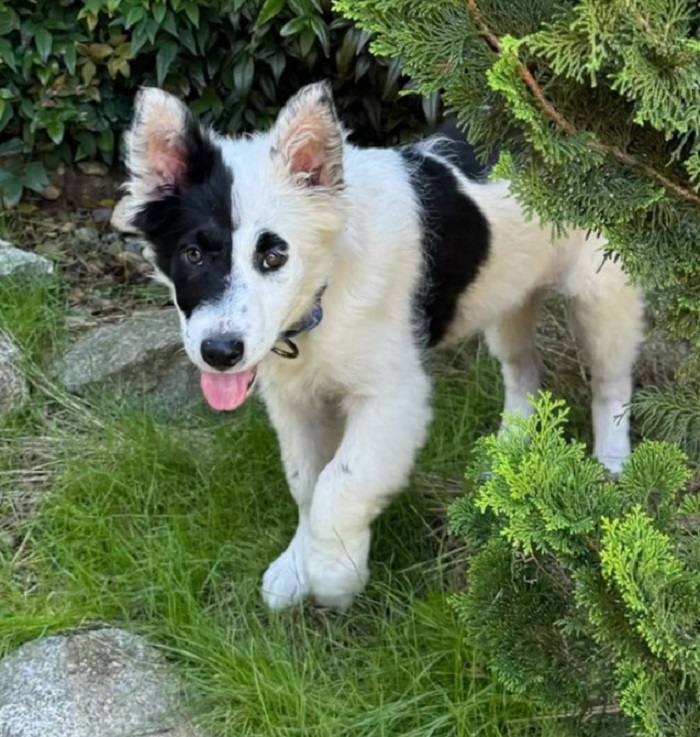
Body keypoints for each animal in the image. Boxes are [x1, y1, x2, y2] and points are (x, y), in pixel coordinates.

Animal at [115, 82, 644, 608]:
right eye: (193, 254)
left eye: (273, 256)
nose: (220, 352)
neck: (323, 294)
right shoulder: (295, 399)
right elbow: (305, 482)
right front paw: (296, 566)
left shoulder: (393, 396)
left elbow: (339, 484)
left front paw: (333, 575)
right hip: (507, 290)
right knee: (522, 370)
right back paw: (511, 447)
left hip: (604, 291)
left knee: (611, 382)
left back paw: (613, 464)